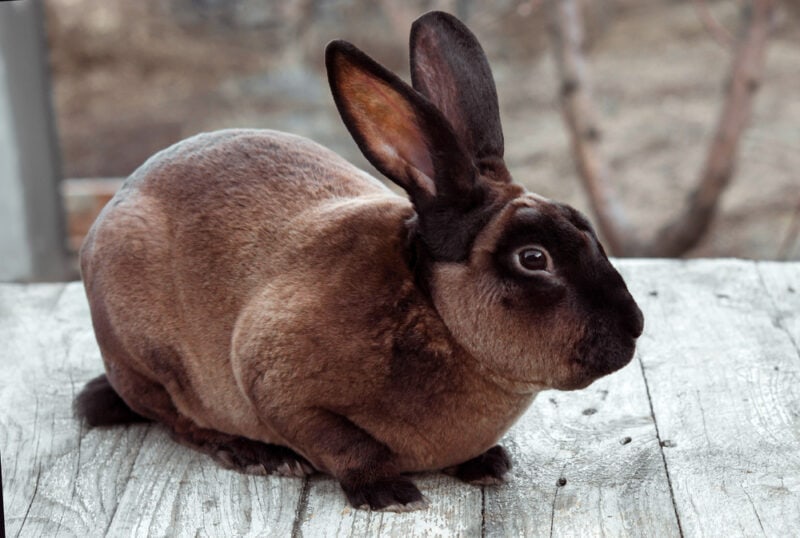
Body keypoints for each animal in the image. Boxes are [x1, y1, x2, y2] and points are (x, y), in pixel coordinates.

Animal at [76, 11, 644, 511]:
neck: (433, 310)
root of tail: (111, 209)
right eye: (533, 258)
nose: (634, 325)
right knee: (175, 417)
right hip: (144, 356)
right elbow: (344, 445)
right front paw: (389, 494)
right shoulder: (276, 386)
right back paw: (257, 454)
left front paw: (485, 463)